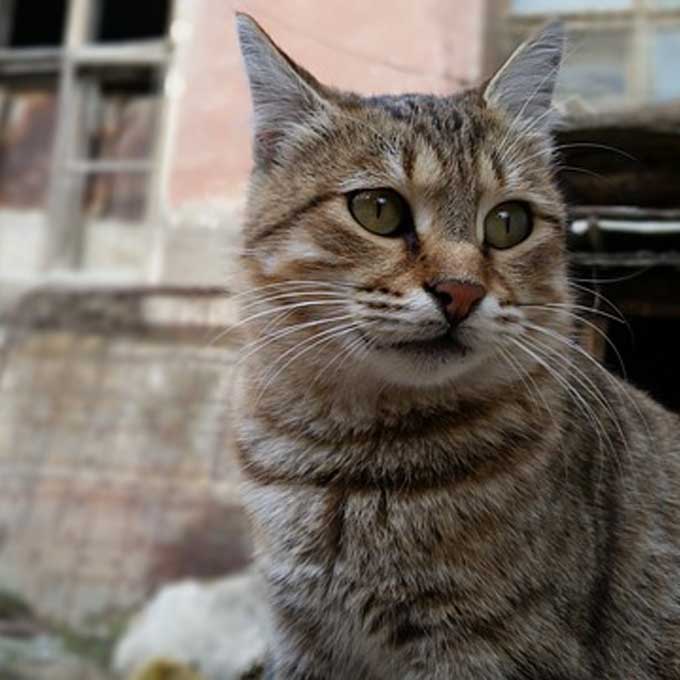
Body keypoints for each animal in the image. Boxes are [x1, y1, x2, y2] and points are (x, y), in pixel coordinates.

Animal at [232, 11, 680, 680]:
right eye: (378, 209)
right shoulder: (302, 639)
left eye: (509, 222)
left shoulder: (492, 649)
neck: (351, 468)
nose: (461, 290)